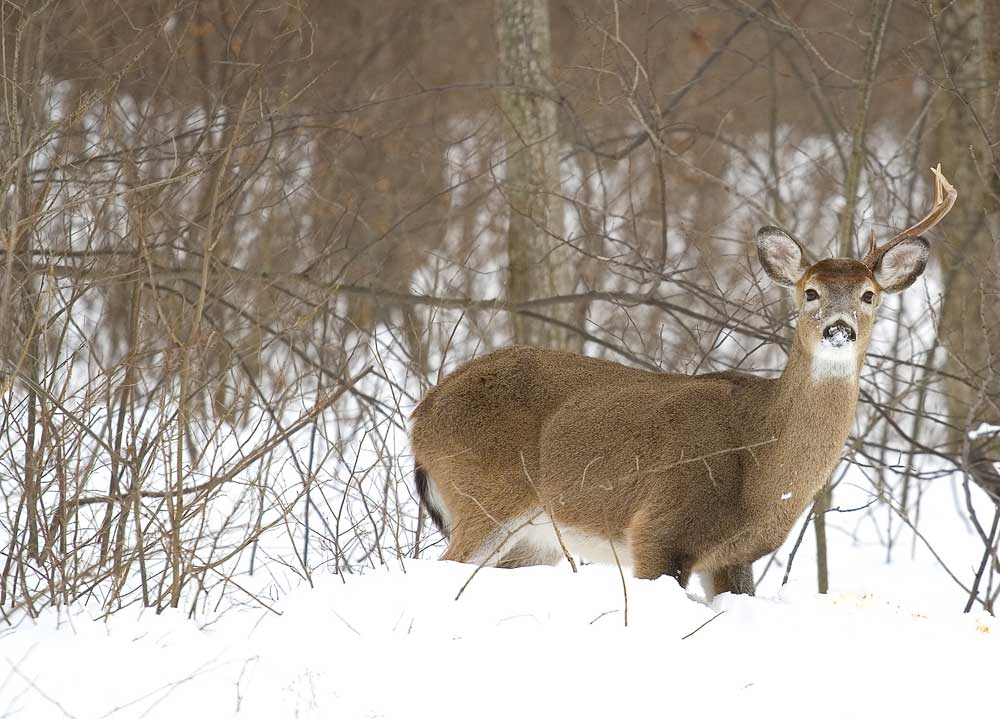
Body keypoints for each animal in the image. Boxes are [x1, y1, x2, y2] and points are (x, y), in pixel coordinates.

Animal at [410, 166, 956, 600]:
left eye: (868, 294)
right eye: (810, 292)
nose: (838, 329)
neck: (762, 468)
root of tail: (423, 415)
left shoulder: (735, 556)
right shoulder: (659, 529)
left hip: (530, 539)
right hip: (483, 495)